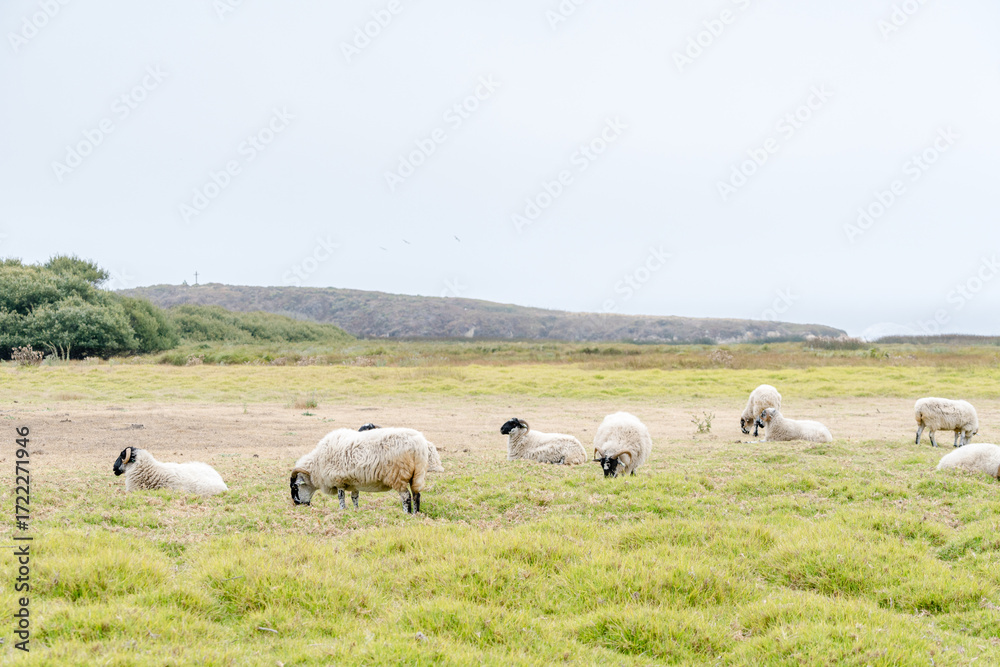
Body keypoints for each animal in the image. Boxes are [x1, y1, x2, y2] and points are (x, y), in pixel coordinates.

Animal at [290, 427, 435, 514]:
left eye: (295, 487)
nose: (296, 504)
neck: (317, 464)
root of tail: (419, 443)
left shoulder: (338, 481)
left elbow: (341, 497)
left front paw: (342, 510)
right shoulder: (354, 482)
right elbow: (355, 497)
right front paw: (356, 510)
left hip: (397, 475)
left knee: (406, 496)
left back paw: (406, 513)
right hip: (417, 474)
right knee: (416, 495)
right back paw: (416, 514)